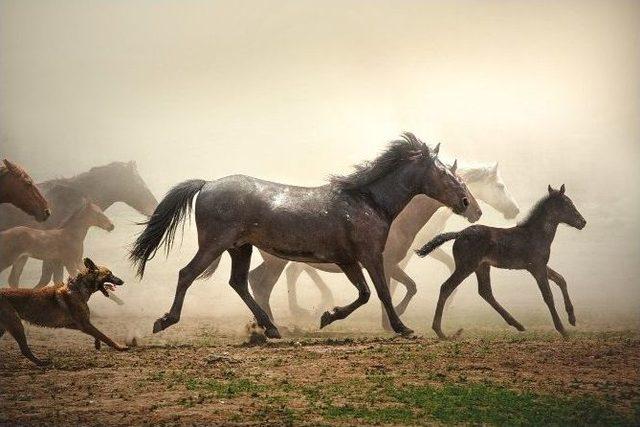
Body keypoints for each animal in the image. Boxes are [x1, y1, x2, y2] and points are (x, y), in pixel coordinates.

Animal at [130, 132, 472, 340]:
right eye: (445, 173)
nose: (466, 202)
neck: (367, 201)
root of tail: (207, 184)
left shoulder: (348, 260)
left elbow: (364, 294)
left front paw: (328, 316)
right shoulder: (371, 256)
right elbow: (382, 293)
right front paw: (402, 328)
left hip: (240, 248)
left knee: (239, 282)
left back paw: (271, 328)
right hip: (215, 245)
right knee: (187, 274)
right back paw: (165, 321)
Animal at [418, 186, 588, 340]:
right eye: (568, 204)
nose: (583, 222)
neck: (536, 233)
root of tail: (459, 234)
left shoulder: (540, 265)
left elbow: (561, 279)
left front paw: (572, 319)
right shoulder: (536, 267)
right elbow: (548, 296)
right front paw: (563, 330)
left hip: (482, 266)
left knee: (485, 292)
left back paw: (518, 324)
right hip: (466, 266)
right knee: (446, 287)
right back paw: (440, 332)